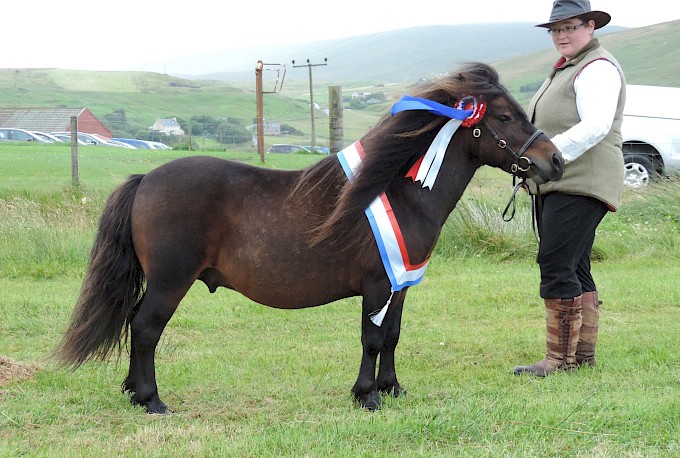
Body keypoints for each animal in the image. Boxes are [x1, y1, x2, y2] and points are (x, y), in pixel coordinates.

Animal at [57, 62, 564, 414]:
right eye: (505, 117)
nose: (555, 160)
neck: (399, 190)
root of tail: (146, 179)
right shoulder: (378, 285)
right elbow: (372, 339)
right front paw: (367, 396)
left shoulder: (401, 285)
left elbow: (393, 336)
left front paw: (392, 388)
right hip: (169, 281)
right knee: (145, 327)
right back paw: (151, 400)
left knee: (135, 325)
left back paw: (133, 393)